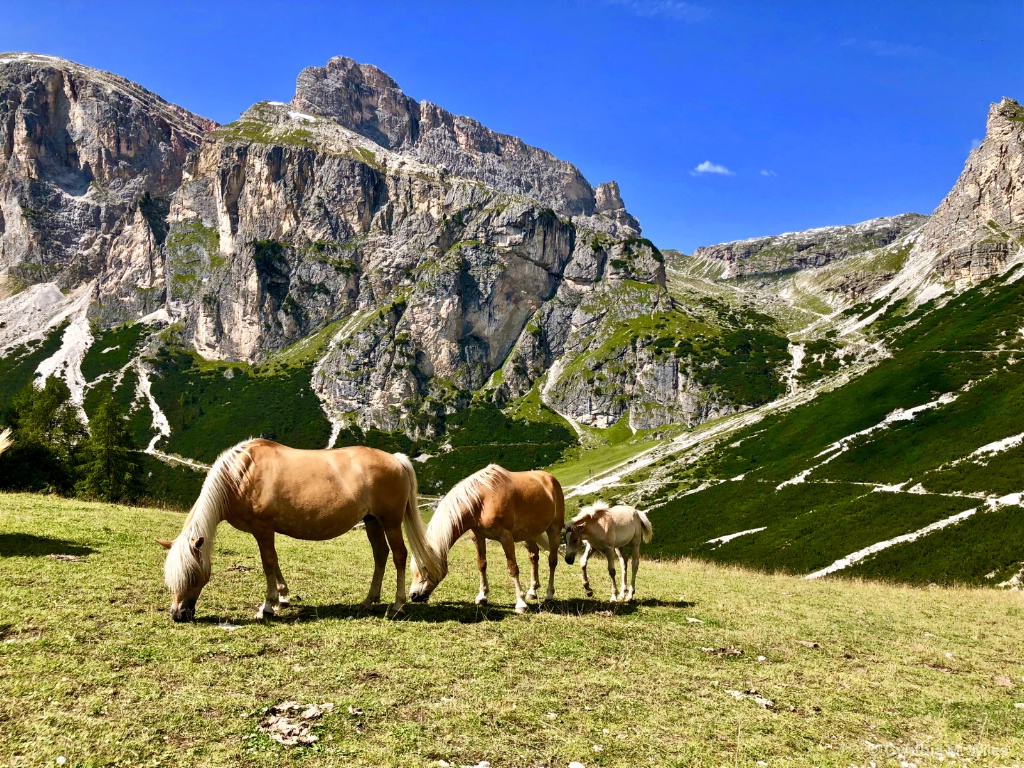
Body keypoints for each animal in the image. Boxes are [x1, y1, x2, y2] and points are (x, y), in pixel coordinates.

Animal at [155, 442, 440, 622]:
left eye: (193, 575)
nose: (178, 615)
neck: (241, 475)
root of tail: (396, 459)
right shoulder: (266, 530)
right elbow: (275, 562)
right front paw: (282, 598)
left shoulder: (262, 528)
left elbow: (268, 563)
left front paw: (267, 606)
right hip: (372, 522)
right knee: (380, 555)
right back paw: (368, 601)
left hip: (390, 522)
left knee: (399, 556)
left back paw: (398, 605)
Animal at [409, 466, 569, 618]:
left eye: (424, 568)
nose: (413, 595)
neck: (482, 501)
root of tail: (550, 478)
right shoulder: (477, 537)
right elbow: (482, 565)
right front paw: (482, 596)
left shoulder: (506, 537)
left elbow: (513, 568)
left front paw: (520, 604)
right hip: (528, 534)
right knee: (534, 557)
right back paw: (532, 591)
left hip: (554, 530)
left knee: (552, 561)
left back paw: (549, 595)